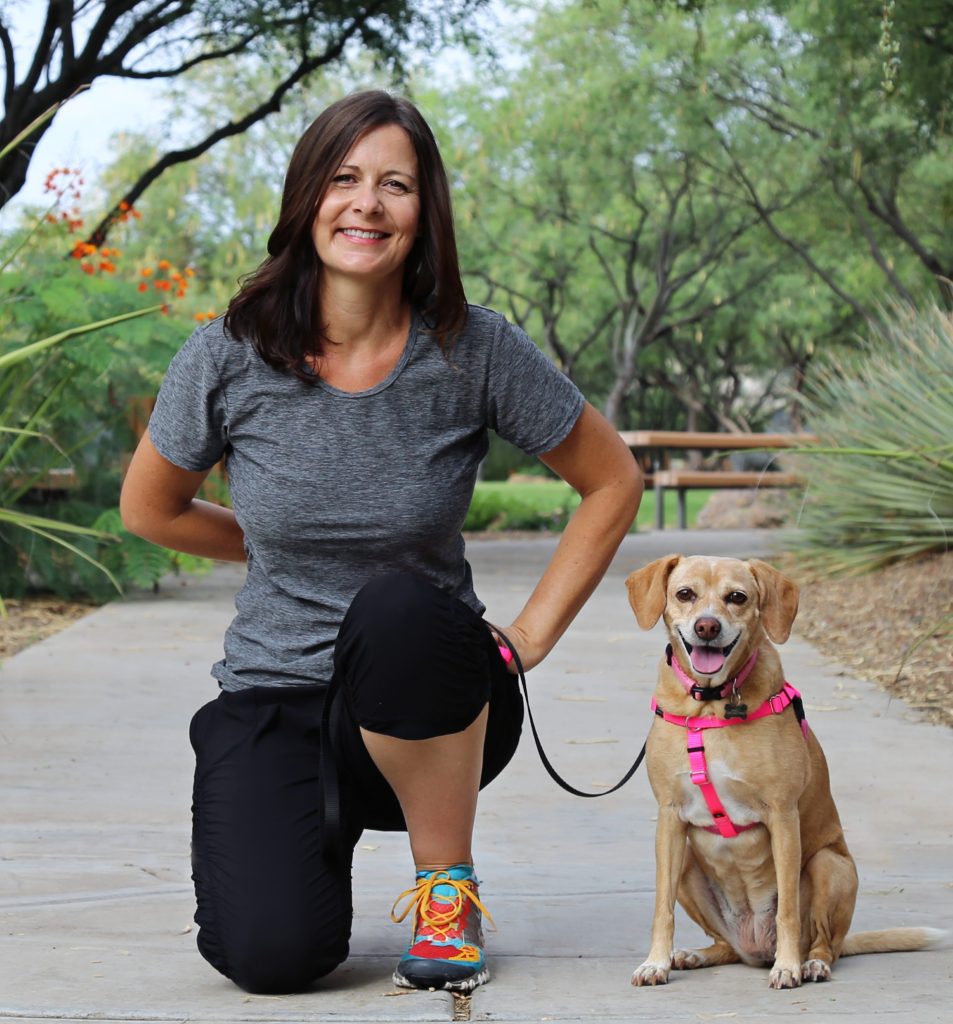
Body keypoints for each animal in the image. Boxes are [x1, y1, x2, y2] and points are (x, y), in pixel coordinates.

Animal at [622, 557, 941, 987]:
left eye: (737, 597)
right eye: (685, 594)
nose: (707, 626)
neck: (711, 704)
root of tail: (755, 943)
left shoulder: (783, 816)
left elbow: (788, 907)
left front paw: (787, 967)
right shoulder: (670, 818)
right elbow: (662, 907)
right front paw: (656, 962)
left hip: (829, 865)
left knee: (825, 942)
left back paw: (810, 963)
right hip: (689, 862)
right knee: (727, 947)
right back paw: (696, 955)